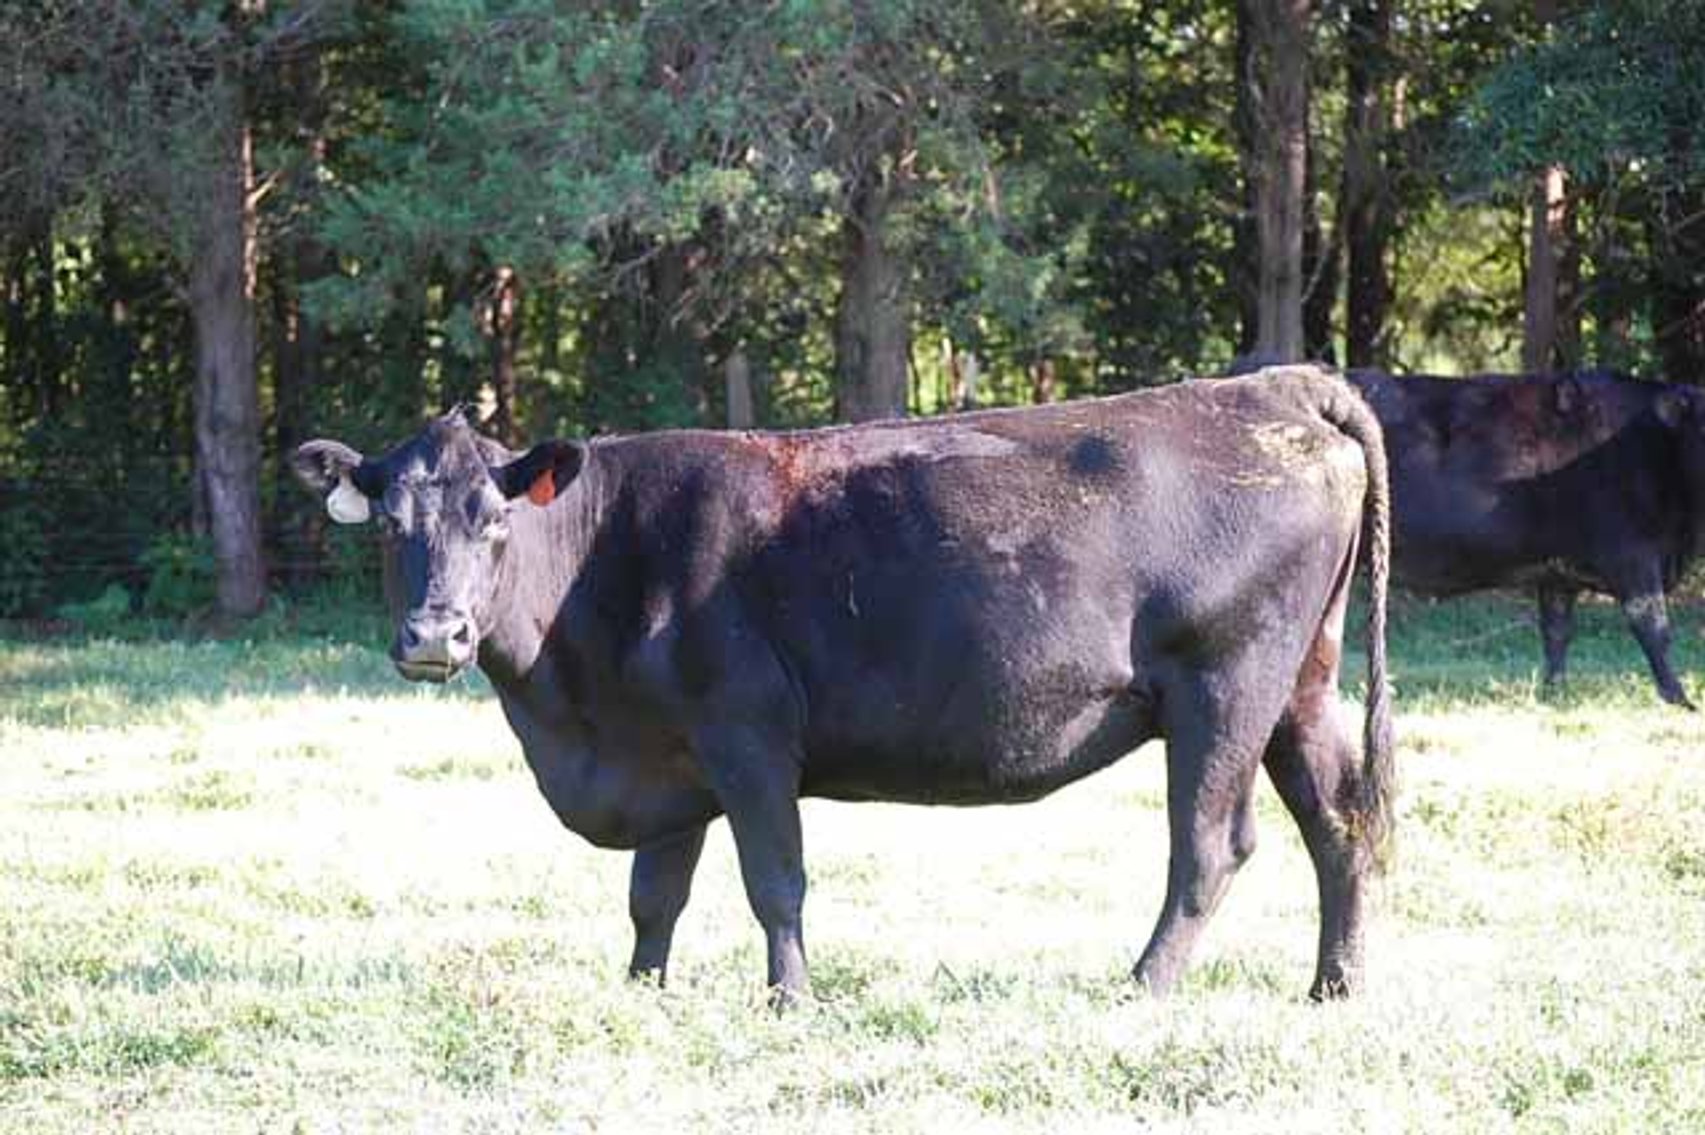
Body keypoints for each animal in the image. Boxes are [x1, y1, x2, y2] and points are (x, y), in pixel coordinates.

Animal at [291, 363, 1395, 1002]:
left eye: (494, 519)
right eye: (390, 524)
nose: (434, 634)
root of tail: (1278, 386)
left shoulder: (745, 737)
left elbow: (773, 879)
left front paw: (788, 1000)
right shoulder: (665, 751)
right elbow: (655, 894)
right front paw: (640, 995)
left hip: (1226, 682)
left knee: (1210, 844)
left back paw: (1144, 986)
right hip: (1300, 683)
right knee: (1341, 819)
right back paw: (1333, 986)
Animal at [1348, 368, 1705, 709]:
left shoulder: (1558, 571)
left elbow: (1556, 632)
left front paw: (1555, 693)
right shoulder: (1632, 556)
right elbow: (1653, 627)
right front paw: (1679, 698)